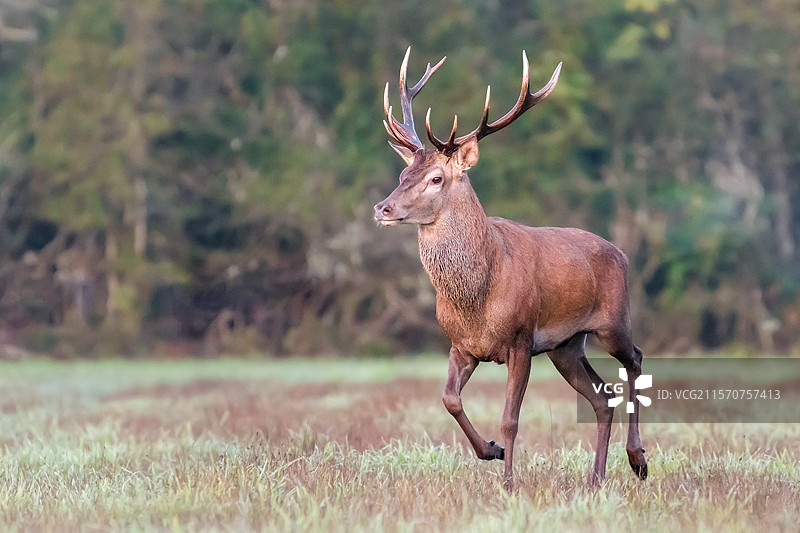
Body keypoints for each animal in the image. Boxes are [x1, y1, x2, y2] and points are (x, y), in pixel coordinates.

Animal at [373, 47, 648, 489]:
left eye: (436, 178)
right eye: (403, 173)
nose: (382, 208)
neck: (476, 299)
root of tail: (621, 254)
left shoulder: (520, 340)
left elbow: (510, 419)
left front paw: (508, 482)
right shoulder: (461, 345)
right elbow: (449, 399)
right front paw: (490, 451)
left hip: (613, 321)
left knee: (635, 359)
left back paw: (638, 459)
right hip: (566, 346)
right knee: (602, 396)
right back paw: (596, 478)